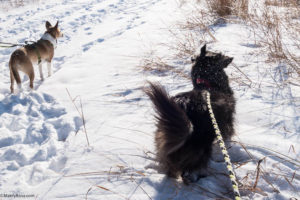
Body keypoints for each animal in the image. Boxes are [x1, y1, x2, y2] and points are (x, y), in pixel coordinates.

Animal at [146, 44, 237, 184]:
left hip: (165, 143)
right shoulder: (228, 122)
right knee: (190, 171)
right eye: (219, 55)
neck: (207, 84)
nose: (231, 57)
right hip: (200, 150)